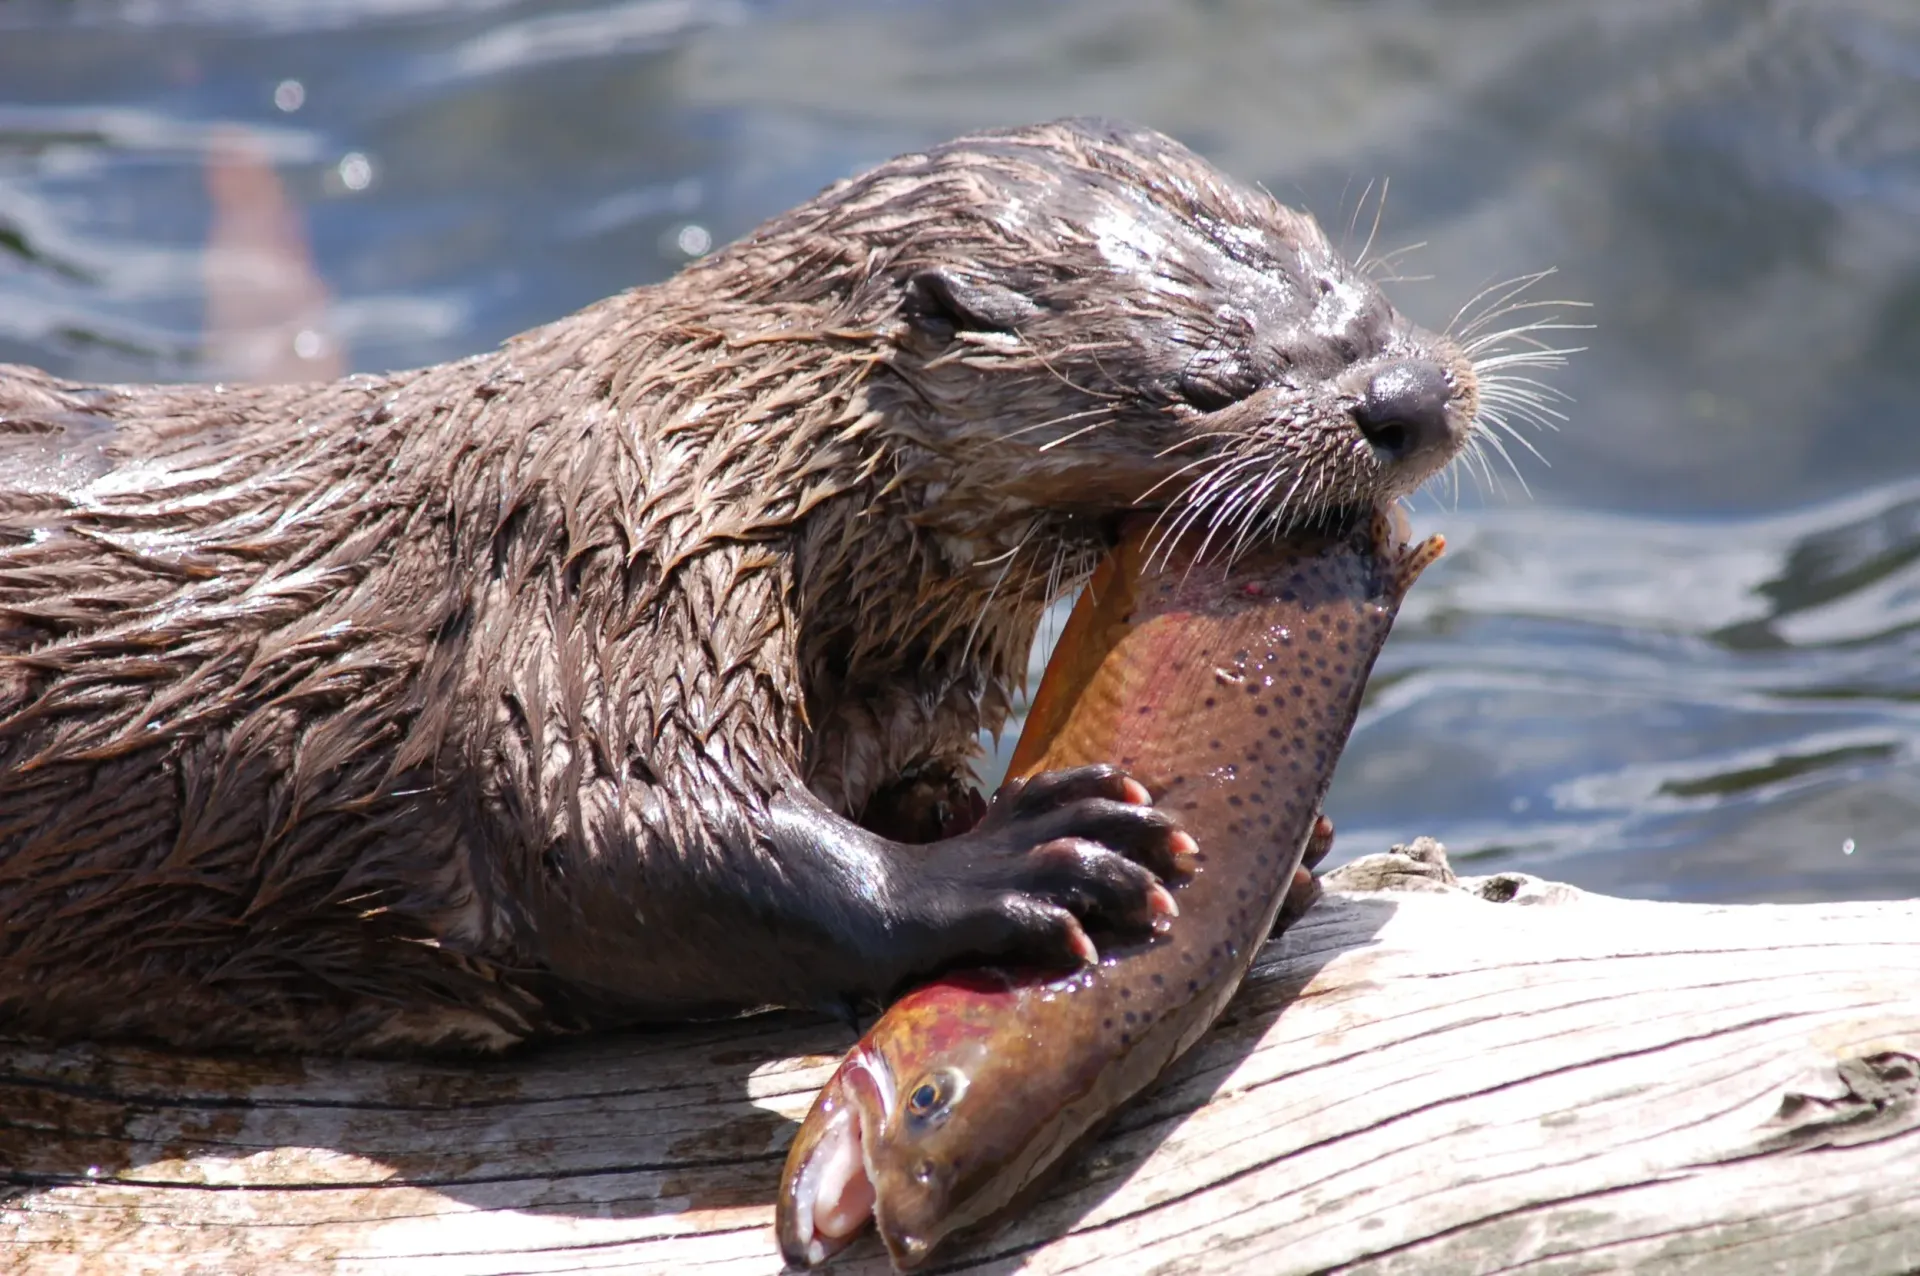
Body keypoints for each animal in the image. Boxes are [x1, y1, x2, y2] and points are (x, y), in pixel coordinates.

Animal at [0, 118, 1481, 1054]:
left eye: (1349, 284)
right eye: (1208, 385)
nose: (1404, 397)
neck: (756, 449)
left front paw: (1286, 850)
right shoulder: (610, 550)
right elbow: (610, 817)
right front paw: (1017, 860)